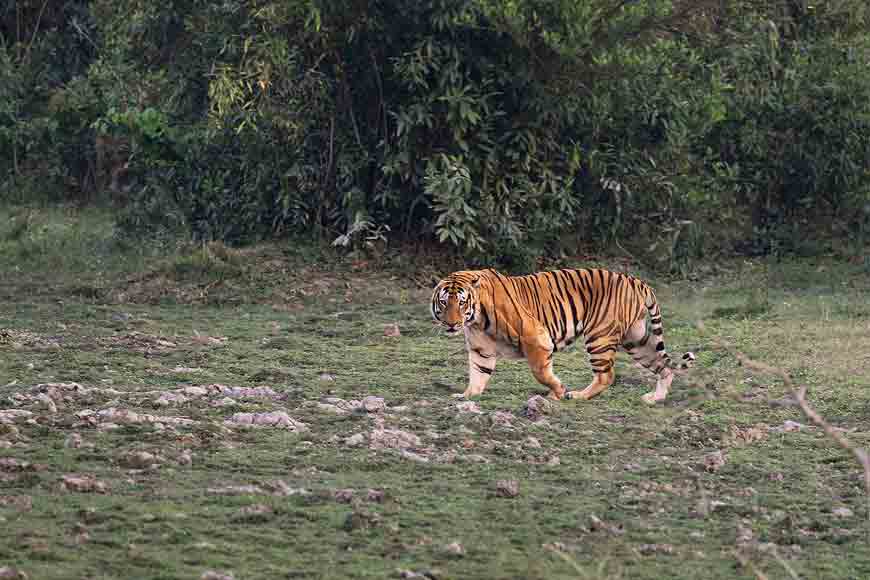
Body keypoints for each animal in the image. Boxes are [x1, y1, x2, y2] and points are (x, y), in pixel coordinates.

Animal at [432, 268, 700, 404]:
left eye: (462, 303)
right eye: (445, 303)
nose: (452, 323)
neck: (476, 319)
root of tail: (636, 281)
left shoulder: (536, 338)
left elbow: (541, 373)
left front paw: (558, 392)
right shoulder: (481, 350)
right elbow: (478, 374)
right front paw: (466, 395)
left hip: (599, 336)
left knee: (606, 375)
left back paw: (578, 395)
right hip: (635, 340)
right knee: (663, 367)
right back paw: (655, 398)